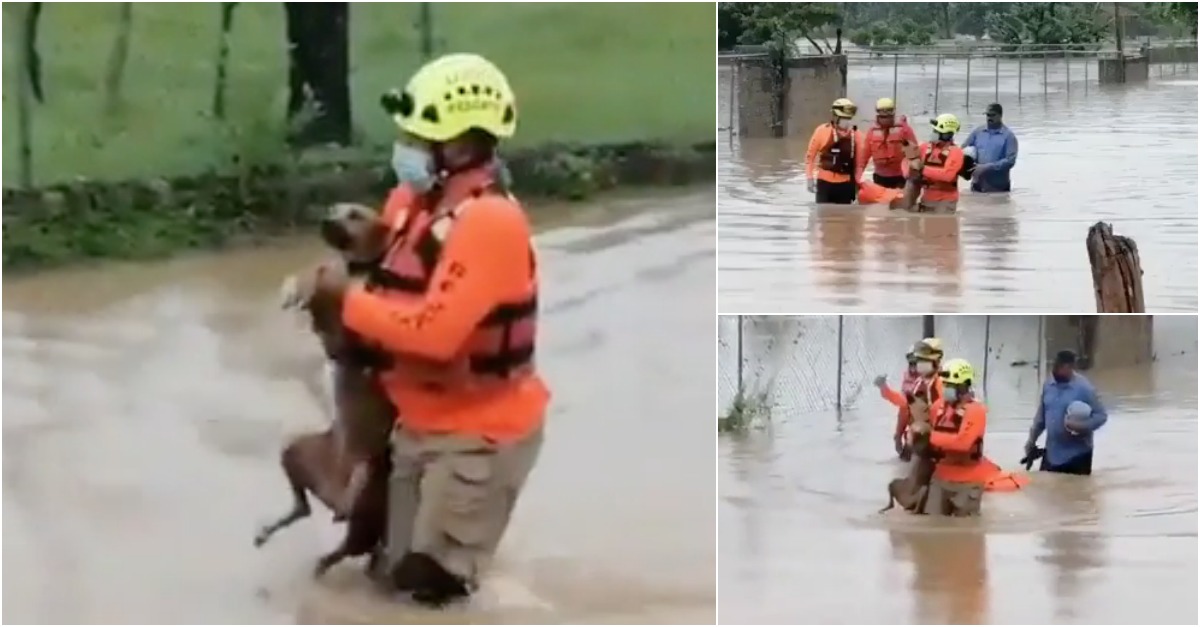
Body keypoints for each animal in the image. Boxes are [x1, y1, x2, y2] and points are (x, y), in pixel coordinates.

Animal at [256, 202, 398, 574]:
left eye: (355, 214)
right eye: (334, 208)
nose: (325, 220)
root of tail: (331, 490)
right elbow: (317, 277)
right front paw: (296, 290)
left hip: (366, 495)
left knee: (348, 540)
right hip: (294, 450)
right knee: (303, 508)